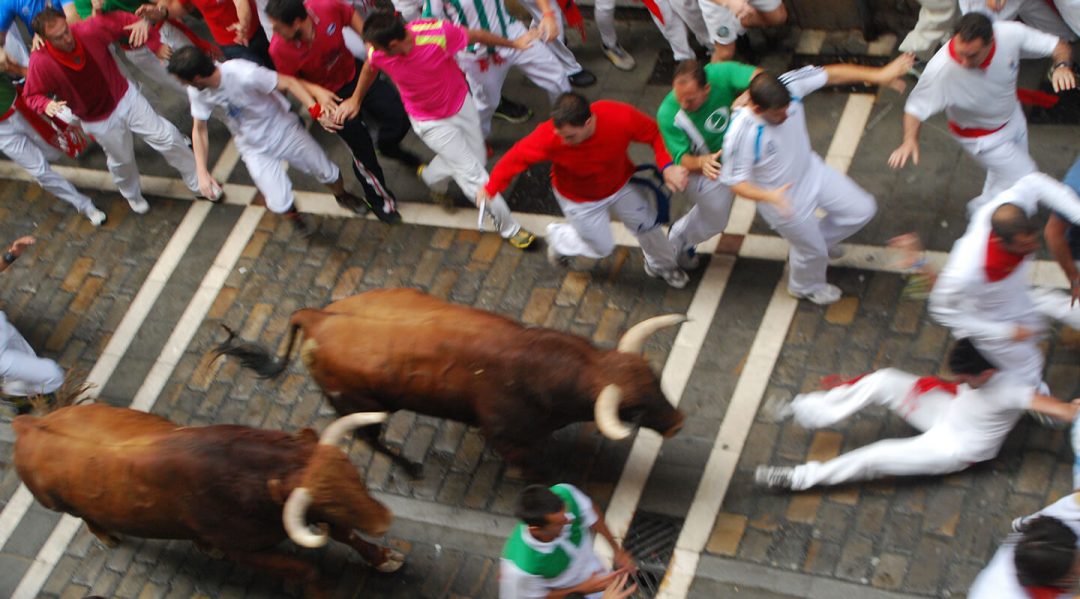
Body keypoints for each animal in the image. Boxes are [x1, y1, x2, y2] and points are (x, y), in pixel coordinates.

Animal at [13, 403, 401, 591]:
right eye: (329, 501)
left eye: (354, 473)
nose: (385, 520)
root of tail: (28, 424)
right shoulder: (245, 551)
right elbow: (307, 569)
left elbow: (347, 534)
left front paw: (384, 558)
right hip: (58, 504)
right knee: (87, 518)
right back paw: (107, 536)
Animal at [212, 287, 682, 479]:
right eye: (634, 410)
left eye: (656, 381)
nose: (677, 423)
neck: (534, 366)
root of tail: (315, 317)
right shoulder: (507, 439)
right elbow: (539, 468)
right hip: (358, 405)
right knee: (369, 439)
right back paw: (410, 468)